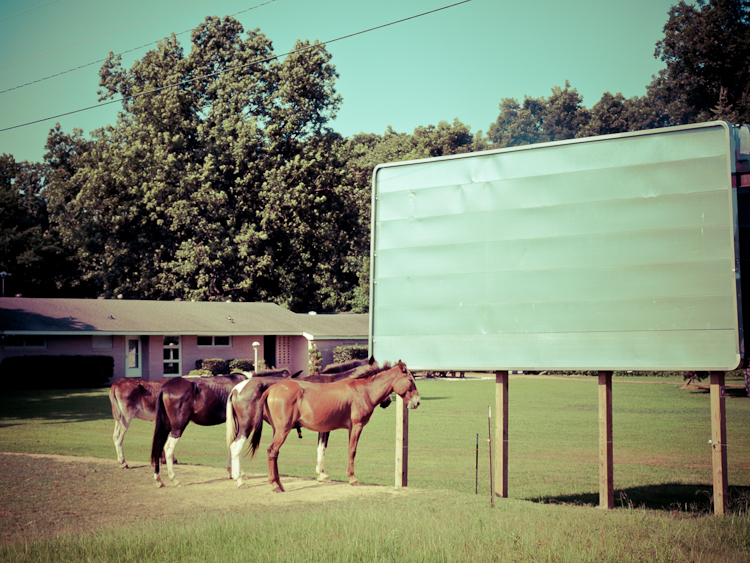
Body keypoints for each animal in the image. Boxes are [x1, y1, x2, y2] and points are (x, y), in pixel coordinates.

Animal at [250, 362, 420, 494]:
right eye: (410, 380)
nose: (417, 402)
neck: (362, 390)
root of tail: (270, 389)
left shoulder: (350, 428)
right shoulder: (357, 426)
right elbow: (352, 450)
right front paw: (352, 478)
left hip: (277, 430)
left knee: (274, 453)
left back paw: (278, 483)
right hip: (282, 431)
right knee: (272, 451)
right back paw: (275, 485)